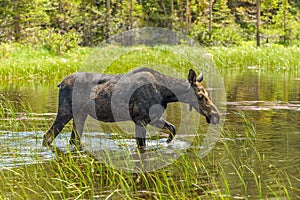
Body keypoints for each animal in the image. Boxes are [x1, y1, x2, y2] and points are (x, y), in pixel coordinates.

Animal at [42, 68, 220, 148]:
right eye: (200, 95)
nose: (216, 115)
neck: (165, 94)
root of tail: (60, 83)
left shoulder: (152, 118)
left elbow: (173, 129)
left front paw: (167, 142)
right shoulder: (140, 119)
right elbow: (142, 145)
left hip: (80, 114)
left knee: (73, 139)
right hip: (65, 111)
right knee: (47, 136)